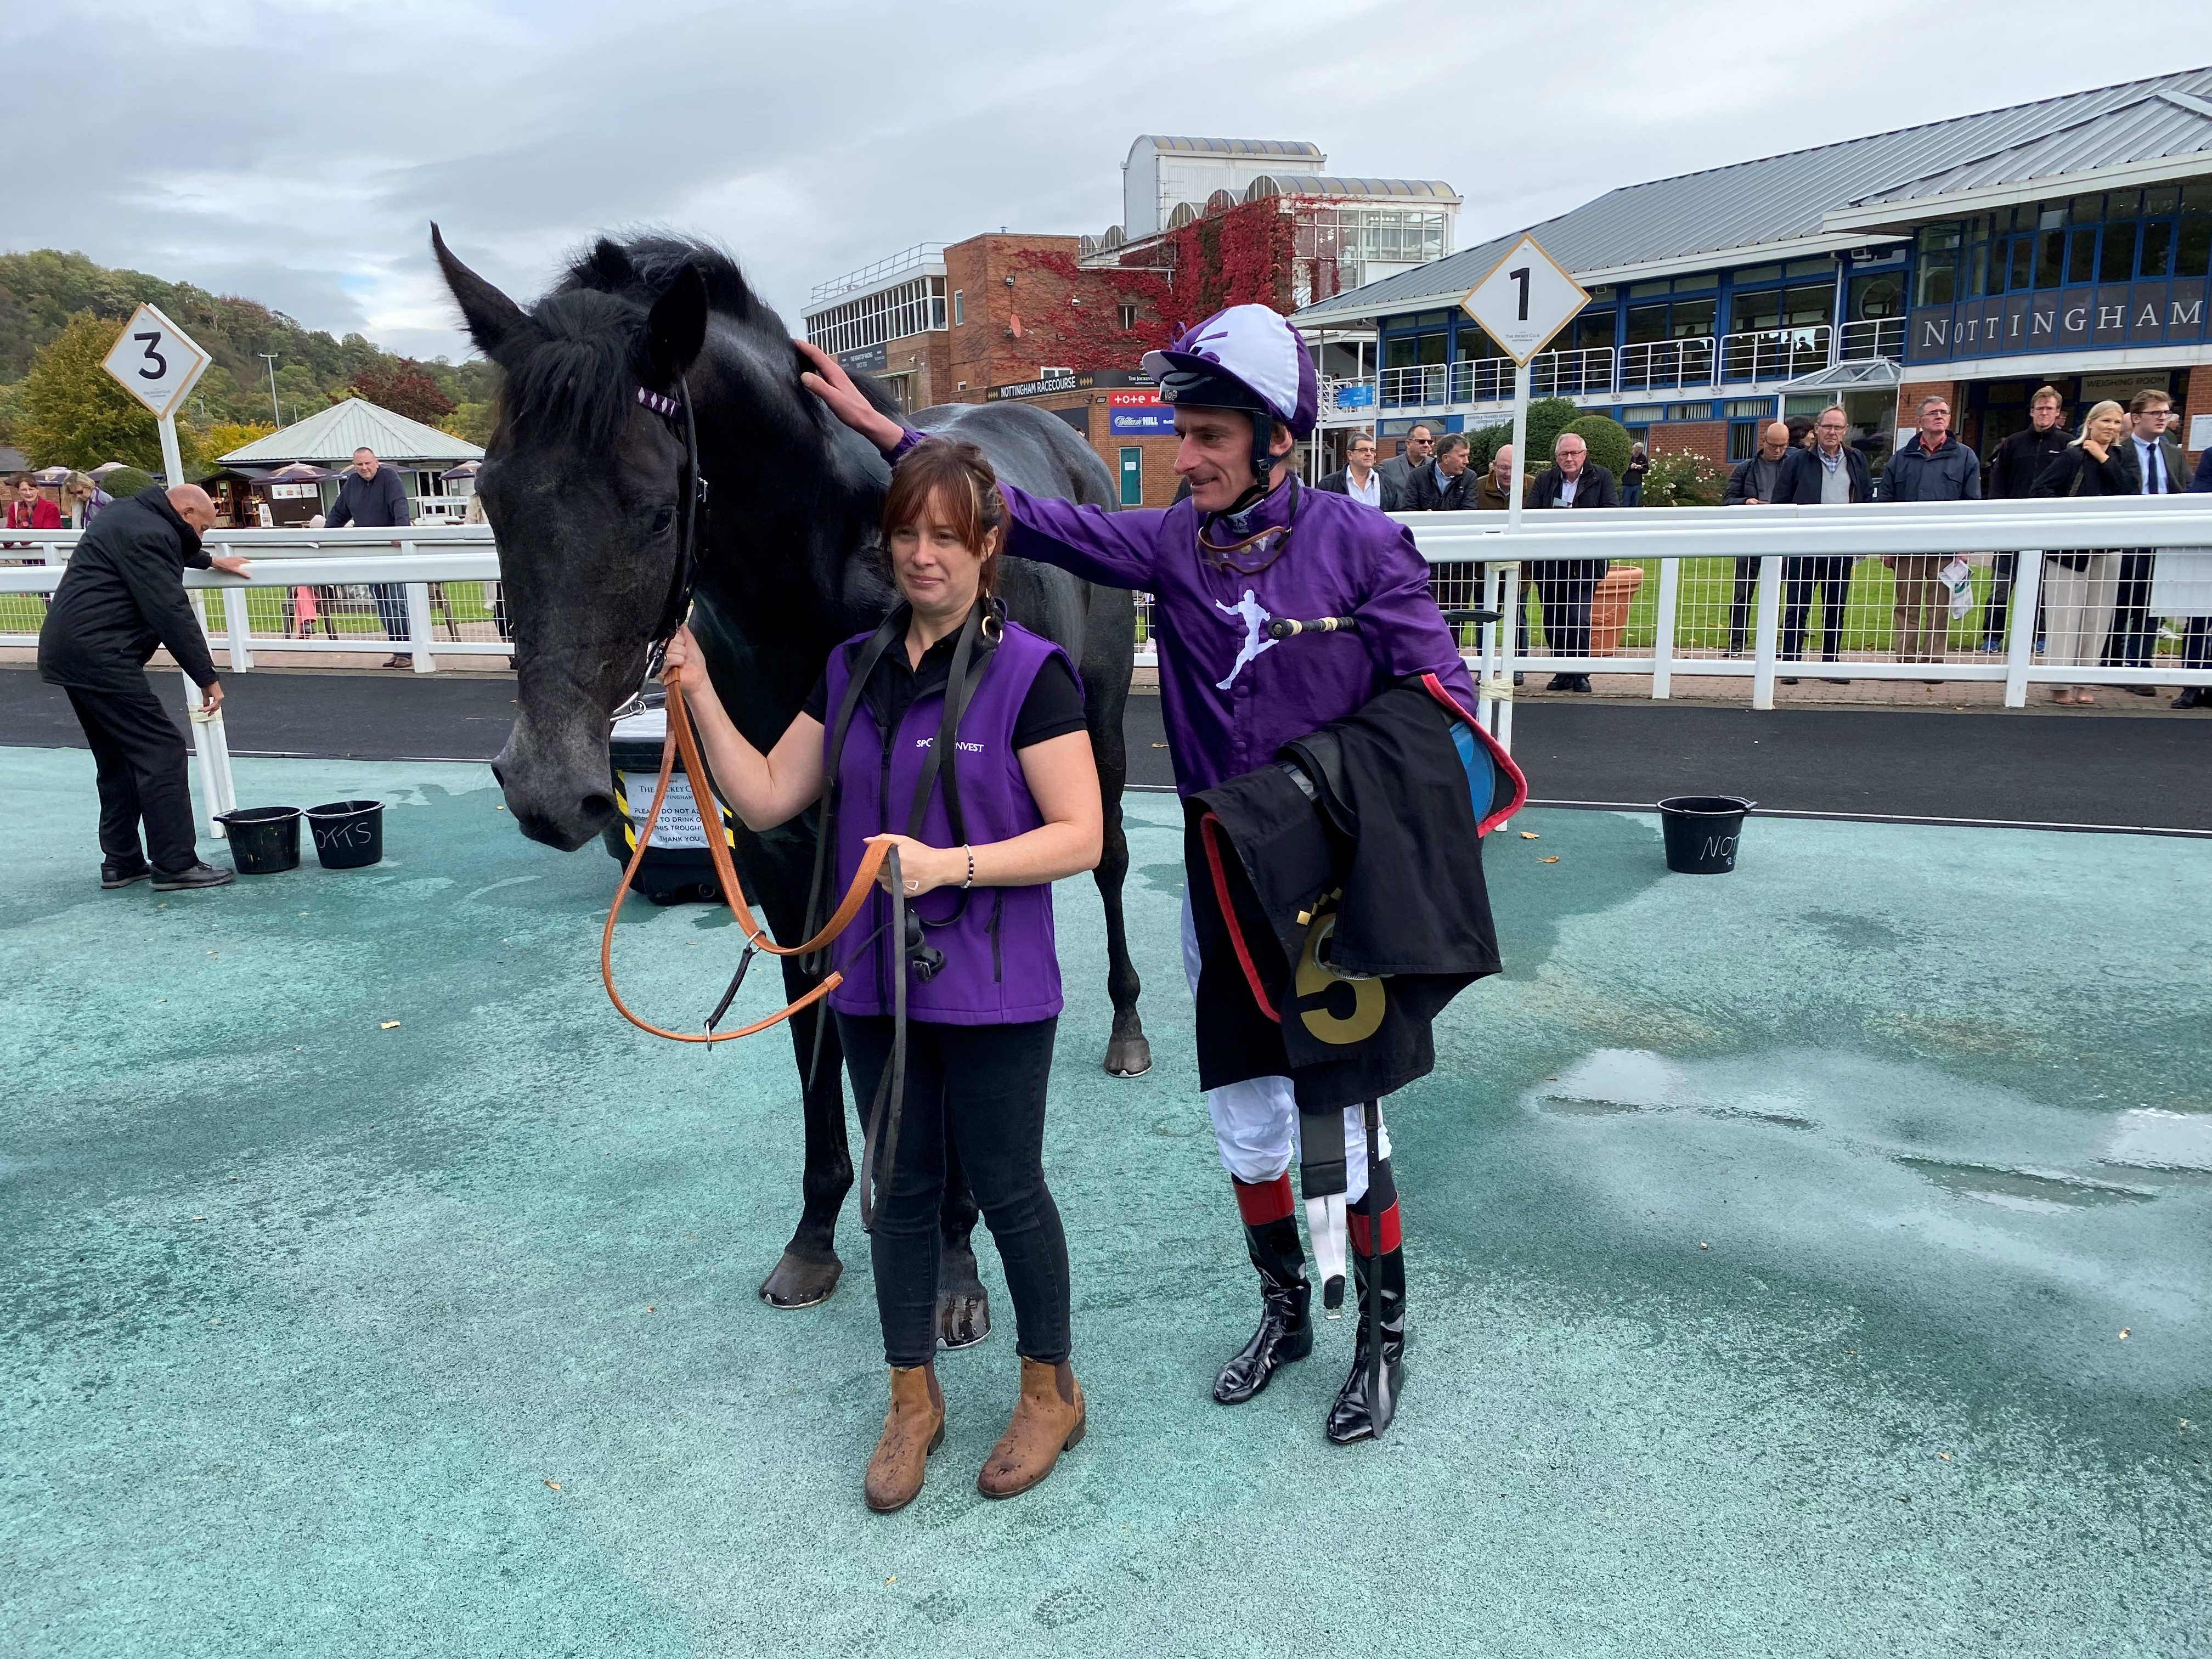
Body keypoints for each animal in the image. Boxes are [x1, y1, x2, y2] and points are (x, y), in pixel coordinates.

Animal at [436, 228, 1159, 1336]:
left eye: (657, 512)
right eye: (490, 497)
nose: (547, 786)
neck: (825, 577)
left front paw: (953, 1259)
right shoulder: (787, 859)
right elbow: (819, 1036)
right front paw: (820, 1232)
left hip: (1104, 738)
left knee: (1112, 866)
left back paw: (1126, 1029)